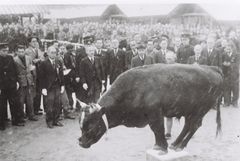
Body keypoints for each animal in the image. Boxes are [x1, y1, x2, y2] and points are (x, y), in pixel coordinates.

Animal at [79, 63, 223, 154]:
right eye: (81, 127)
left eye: (90, 127)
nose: (81, 143)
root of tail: (212, 68)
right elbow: (156, 131)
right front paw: (158, 146)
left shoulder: (155, 114)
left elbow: (158, 129)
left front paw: (163, 148)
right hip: (190, 111)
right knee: (188, 126)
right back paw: (175, 144)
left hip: (200, 110)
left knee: (194, 126)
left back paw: (180, 146)